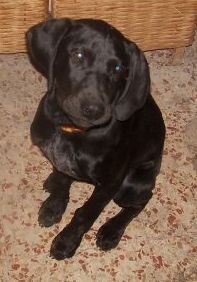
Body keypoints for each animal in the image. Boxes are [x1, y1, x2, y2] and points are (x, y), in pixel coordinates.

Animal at [26, 17, 165, 260]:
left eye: (118, 68)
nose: (94, 110)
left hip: (130, 185)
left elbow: (85, 214)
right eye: (78, 55)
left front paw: (66, 241)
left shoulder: (109, 184)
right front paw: (54, 206)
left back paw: (111, 231)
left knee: (142, 200)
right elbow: (62, 180)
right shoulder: (60, 160)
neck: (72, 130)